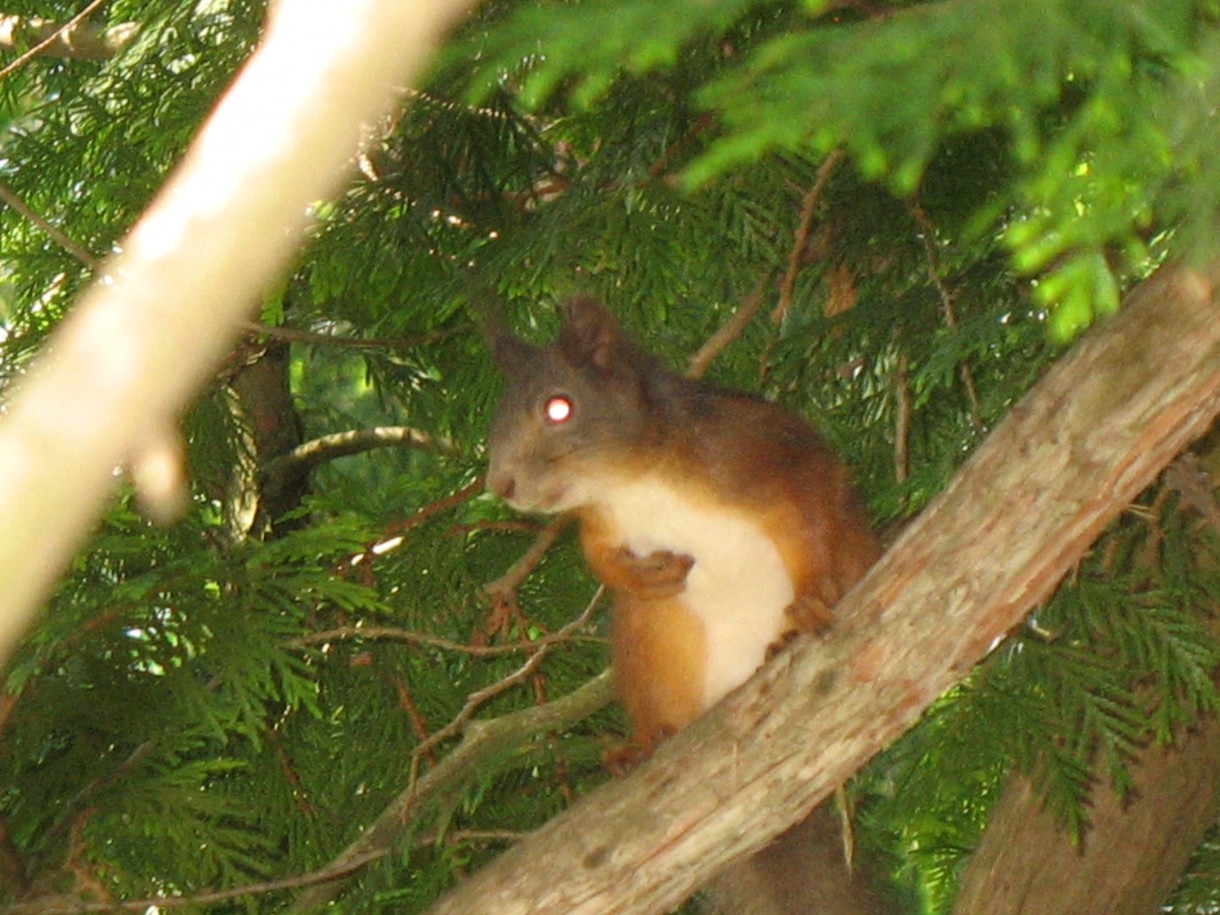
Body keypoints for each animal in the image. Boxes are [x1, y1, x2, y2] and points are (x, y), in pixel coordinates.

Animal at [483, 297, 888, 912]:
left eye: (559, 407)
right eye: (497, 417)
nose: (499, 484)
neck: (628, 483)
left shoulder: (757, 449)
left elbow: (816, 505)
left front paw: (815, 597)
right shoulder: (601, 526)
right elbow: (598, 557)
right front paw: (633, 573)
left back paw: (782, 641)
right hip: (653, 640)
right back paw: (643, 744)